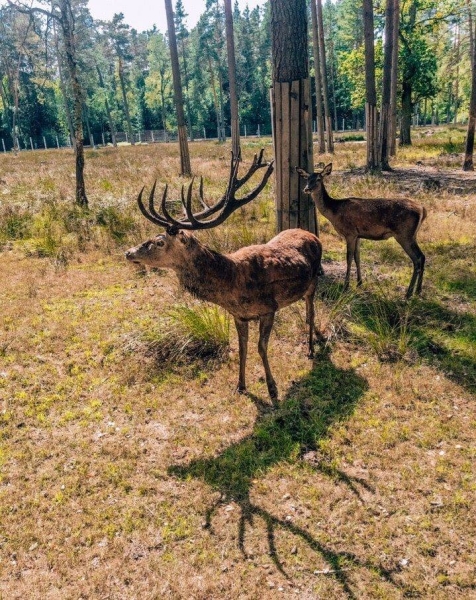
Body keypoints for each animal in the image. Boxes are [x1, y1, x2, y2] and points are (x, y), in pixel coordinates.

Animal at [298, 164, 428, 298]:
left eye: (319, 179)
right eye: (307, 178)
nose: (307, 189)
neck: (334, 211)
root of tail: (422, 209)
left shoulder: (350, 233)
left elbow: (349, 258)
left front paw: (346, 286)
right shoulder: (358, 235)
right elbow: (357, 257)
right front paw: (359, 282)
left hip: (404, 234)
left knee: (417, 259)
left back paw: (409, 292)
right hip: (412, 235)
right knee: (422, 257)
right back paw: (418, 291)